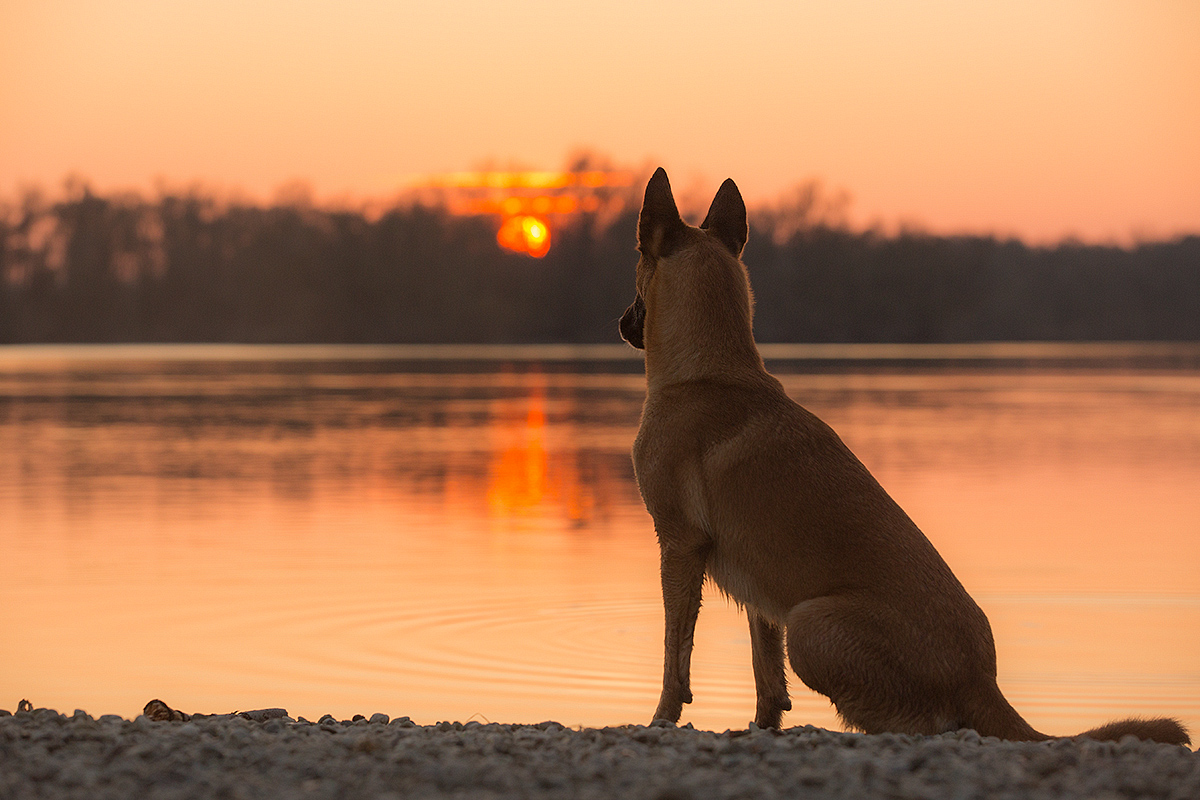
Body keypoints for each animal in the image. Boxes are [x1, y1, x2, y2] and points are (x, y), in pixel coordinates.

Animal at [624, 167, 1185, 743]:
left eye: (636, 268)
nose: (622, 323)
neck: (711, 371)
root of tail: (981, 681)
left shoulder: (679, 547)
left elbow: (675, 654)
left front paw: (660, 718)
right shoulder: (757, 583)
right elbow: (766, 671)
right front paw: (762, 726)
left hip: (810, 624)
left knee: (922, 723)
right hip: (801, 617)